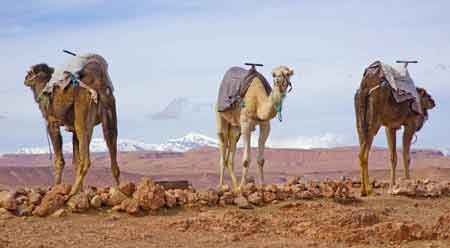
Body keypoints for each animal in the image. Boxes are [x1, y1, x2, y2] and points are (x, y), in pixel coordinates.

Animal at [356, 61, 436, 196]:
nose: (433, 102)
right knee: (363, 153)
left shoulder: (390, 127)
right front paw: (410, 184)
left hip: (360, 121)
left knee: (361, 149)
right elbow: (406, 156)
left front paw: (392, 186)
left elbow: (393, 157)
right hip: (373, 122)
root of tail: (365, 85)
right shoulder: (410, 125)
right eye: (426, 94)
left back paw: (364, 190)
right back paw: (368, 190)